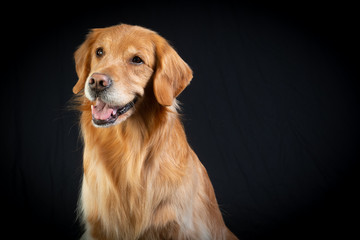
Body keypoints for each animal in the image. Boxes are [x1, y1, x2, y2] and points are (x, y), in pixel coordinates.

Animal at [72, 23, 238, 240]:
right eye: (99, 52)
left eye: (137, 60)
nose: (96, 81)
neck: (129, 149)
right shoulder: (97, 228)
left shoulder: (180, 227)